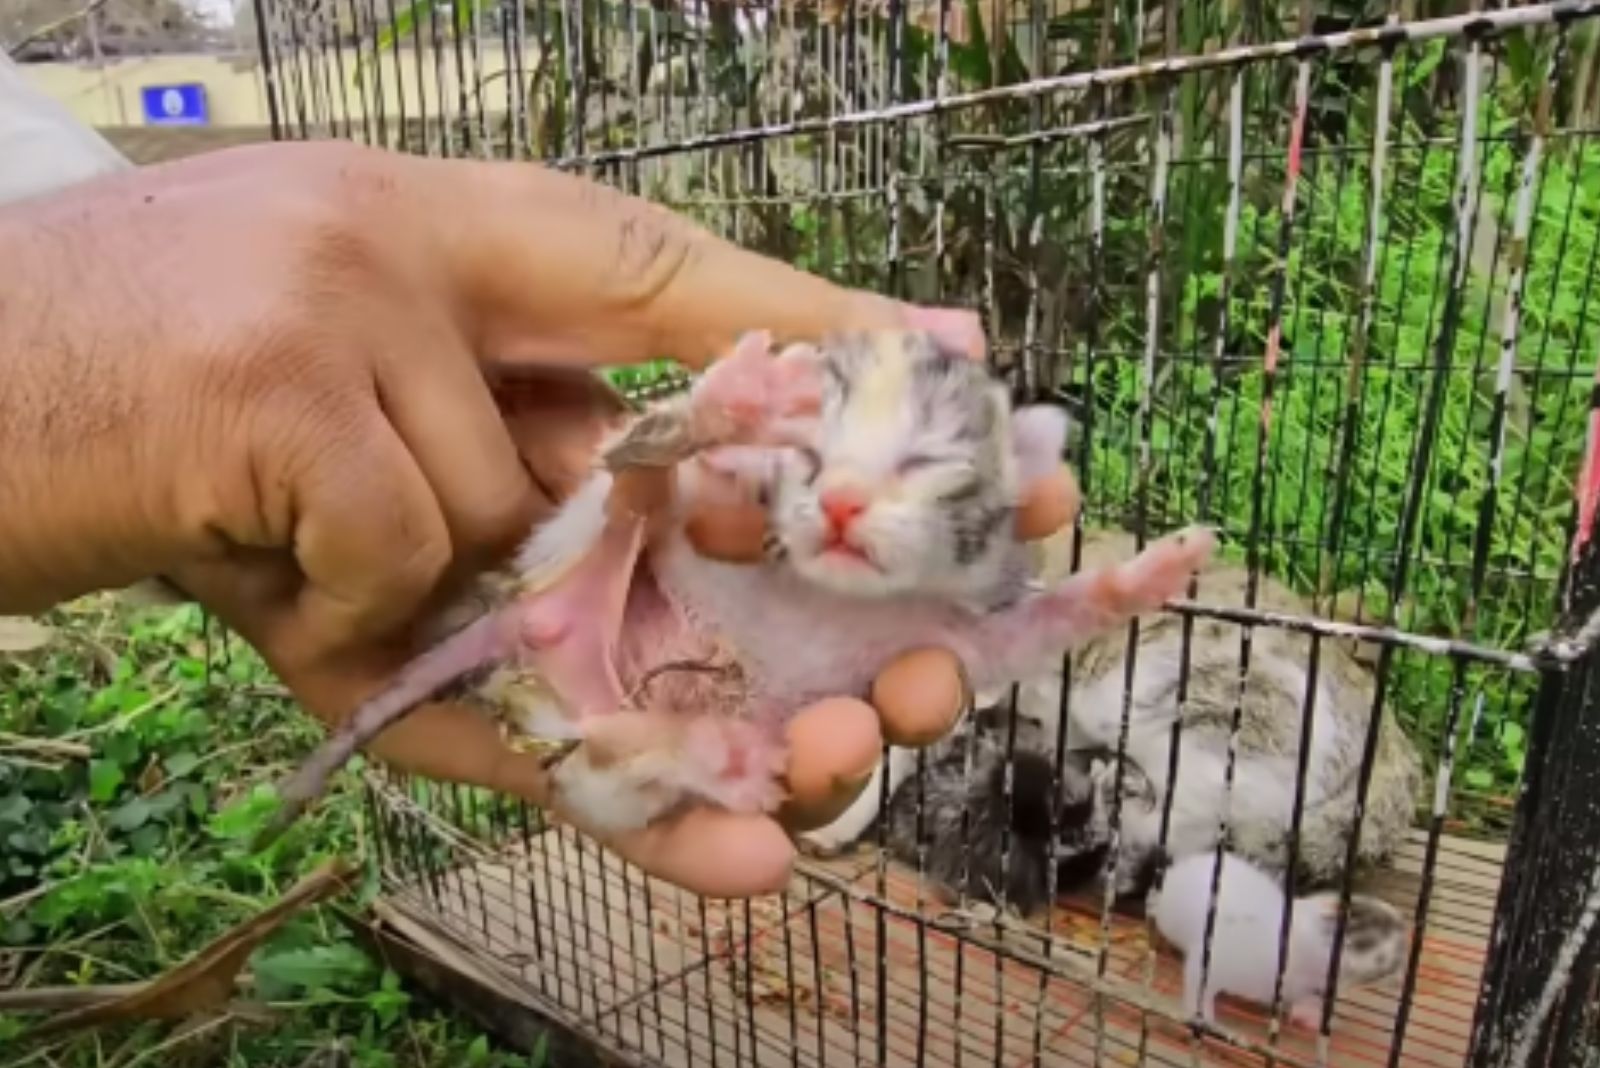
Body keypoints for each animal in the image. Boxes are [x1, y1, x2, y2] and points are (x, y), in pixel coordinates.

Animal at [259, 329, 1209, 844]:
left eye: (926, 462)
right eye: (811, 457)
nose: (840, 500)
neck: (838, 595)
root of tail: (532, 613)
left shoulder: (957, 633)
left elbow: (1036, 629)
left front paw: (1149, 574)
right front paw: (749, 429)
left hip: (592, 735)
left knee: (612, 760)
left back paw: (708, 750)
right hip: (596, 525)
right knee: (635, 476)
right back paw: (719, 408)